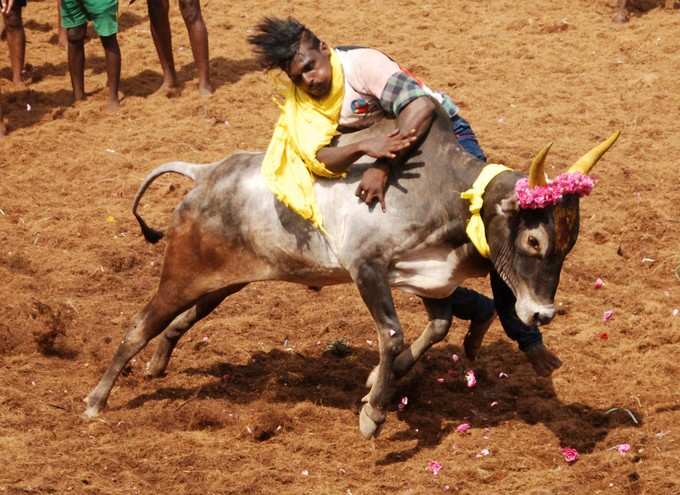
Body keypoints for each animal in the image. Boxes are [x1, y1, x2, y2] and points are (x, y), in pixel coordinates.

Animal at [82, 107, 620, 438]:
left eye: (568, 245)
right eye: (534, 240)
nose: (542, 313)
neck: (450, 197)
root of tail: (207, 173)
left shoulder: (432, 278)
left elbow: (437, 326)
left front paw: (378, 381)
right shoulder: (367, 268)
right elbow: (392, 334)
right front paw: (374, 413)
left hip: (223, 282)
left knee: (178, 322)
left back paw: (156, 366)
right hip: (181, 274)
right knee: (139, 327)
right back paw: (96, 400)